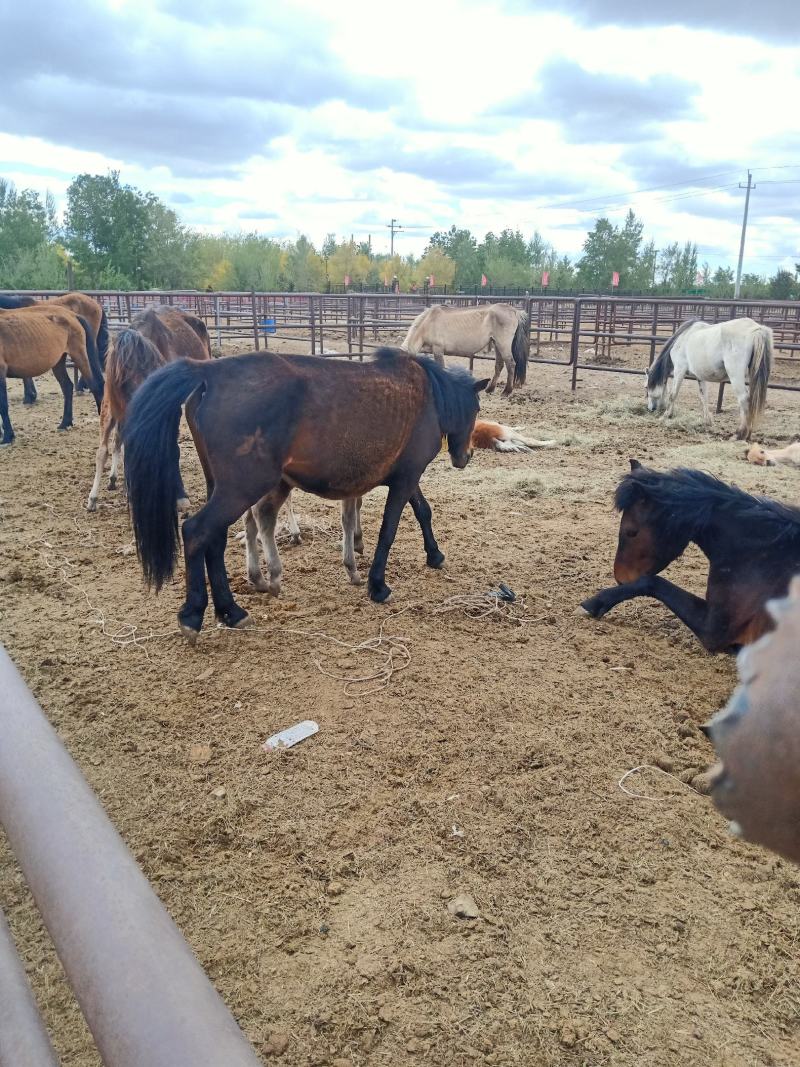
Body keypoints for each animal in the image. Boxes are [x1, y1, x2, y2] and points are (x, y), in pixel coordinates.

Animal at [0, 307, 104, 445]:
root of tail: (72, 315)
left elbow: (3, 405)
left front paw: (7, 436)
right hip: (59, 361)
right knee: (67, 387)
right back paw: (65, 423)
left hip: (79, 355)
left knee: (94, 385)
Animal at [123, 348, 489, 641]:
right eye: (476, 408)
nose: (465, 457)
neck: (430, 398)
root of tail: (209, 371)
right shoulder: (406, 478)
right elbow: (389, 531)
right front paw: (378, 586)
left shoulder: (404, 478)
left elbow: (423, 511)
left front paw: (434, 555)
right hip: (242, 488)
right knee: (197, 531)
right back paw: (194, 614)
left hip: (226, 488)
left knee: (217, 538)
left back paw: (231, 611)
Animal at [579, 460, 800, 652]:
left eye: (631, 532)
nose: (621, 578)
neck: (761, 555)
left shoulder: (714, 631)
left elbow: (651, 582)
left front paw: (596, 602)